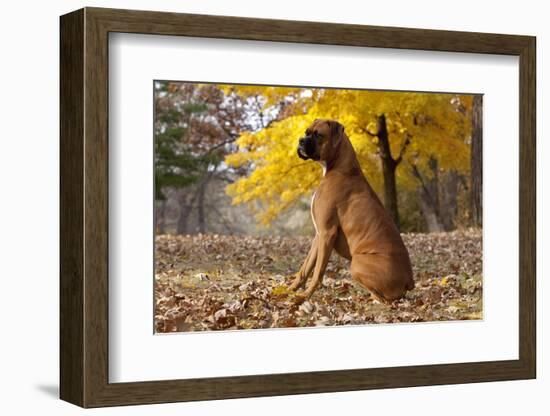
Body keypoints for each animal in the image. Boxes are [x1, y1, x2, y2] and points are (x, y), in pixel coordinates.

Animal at [294, 118, 414, 302]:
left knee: (382, 299)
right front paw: (288, 290)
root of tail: (409, 279)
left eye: (318, 135)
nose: (301, 140)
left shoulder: (327, 233)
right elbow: (305, 268)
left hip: (356, 263)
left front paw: (305, 296)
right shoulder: (319, 234)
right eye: (306, 132)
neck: (339, 167)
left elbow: (318, 272)